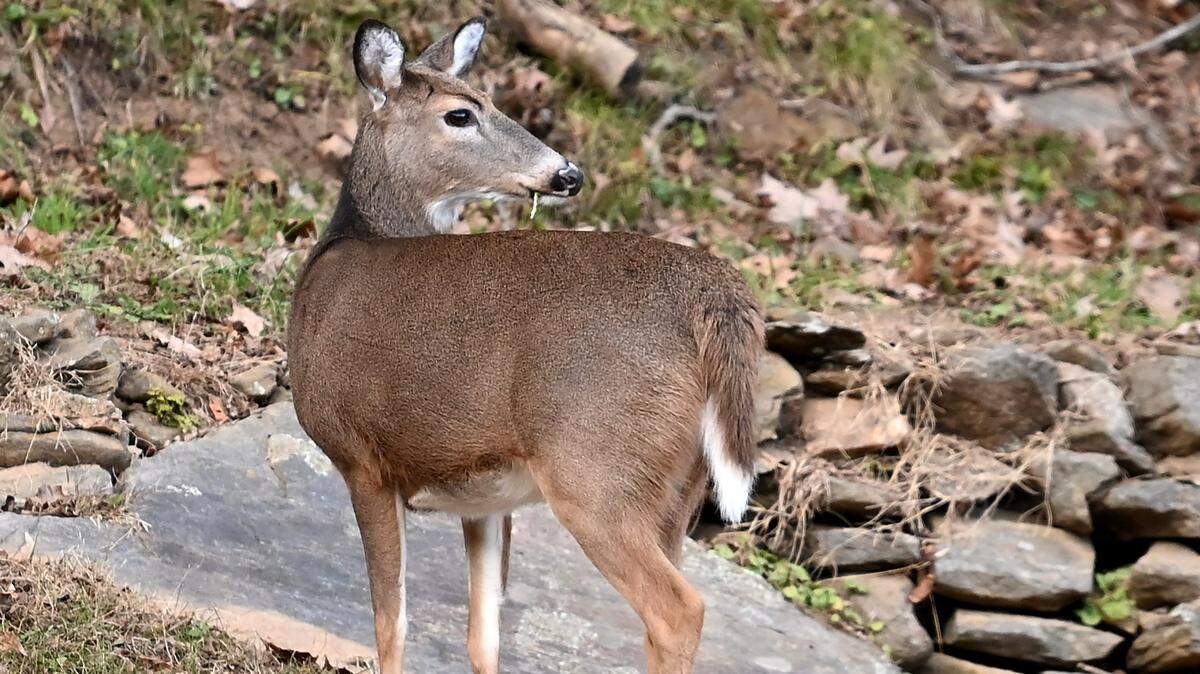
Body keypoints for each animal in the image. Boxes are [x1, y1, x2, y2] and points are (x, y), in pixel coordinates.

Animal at [287, 16, 763, 674]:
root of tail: (716, 292)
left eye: (491, 102)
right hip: (678, 490)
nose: (568, 173)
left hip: (595, 468)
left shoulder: (361, 456)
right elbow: (483, 634)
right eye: (462, 113)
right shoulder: (484, 500)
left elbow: (391, 623)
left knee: (678, 610)